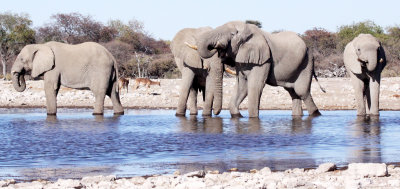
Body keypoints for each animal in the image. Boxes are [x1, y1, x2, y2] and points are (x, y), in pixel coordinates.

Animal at [189, 21, 324, 118]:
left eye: (232, 34)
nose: (218, 46)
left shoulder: (263, 60)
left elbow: (255, 85)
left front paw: (253, 118)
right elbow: (242, 86)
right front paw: (238, 116)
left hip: (306, 63)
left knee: (302, 92)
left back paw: (316, 114)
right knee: (293, 92)